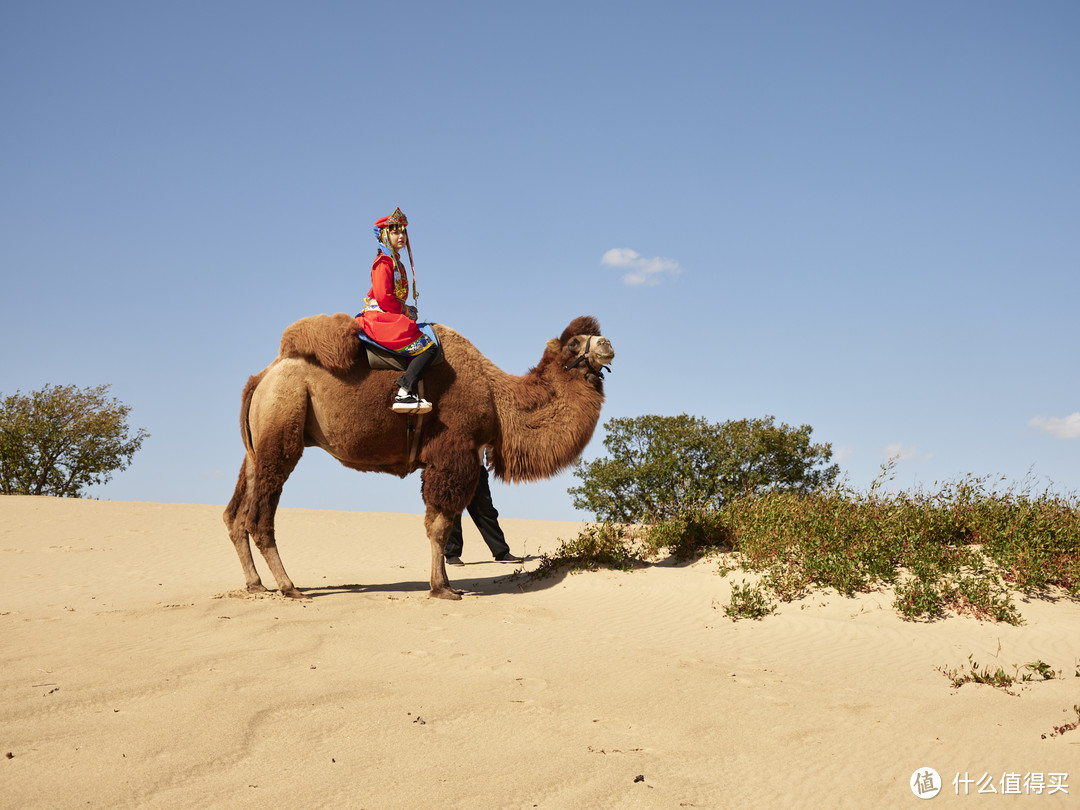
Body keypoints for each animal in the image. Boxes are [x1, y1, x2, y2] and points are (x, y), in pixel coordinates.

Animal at [222, 313, 613, 600]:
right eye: (574, 343)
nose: (608, 344)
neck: (496, 397)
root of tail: (262, 377)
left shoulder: (453, 460)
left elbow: (442, 523)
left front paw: (445, 583)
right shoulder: (452, 453)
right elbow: (438, 526)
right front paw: (442, 589)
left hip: (258, 443)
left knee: (235, 514)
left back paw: (255, 585)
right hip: (282, 422)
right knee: (259, 518)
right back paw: (289, 588)